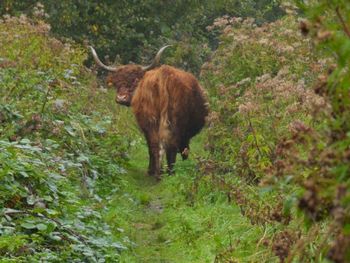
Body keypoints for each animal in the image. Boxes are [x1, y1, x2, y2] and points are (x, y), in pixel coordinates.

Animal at [89, 46, 208, 180]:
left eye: (135, 80)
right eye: (117, 82)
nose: (121, 98)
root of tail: (165, 74)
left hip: (153, 123)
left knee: (157, 145)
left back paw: (157, 173)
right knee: (168, 146)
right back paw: (167, 174)